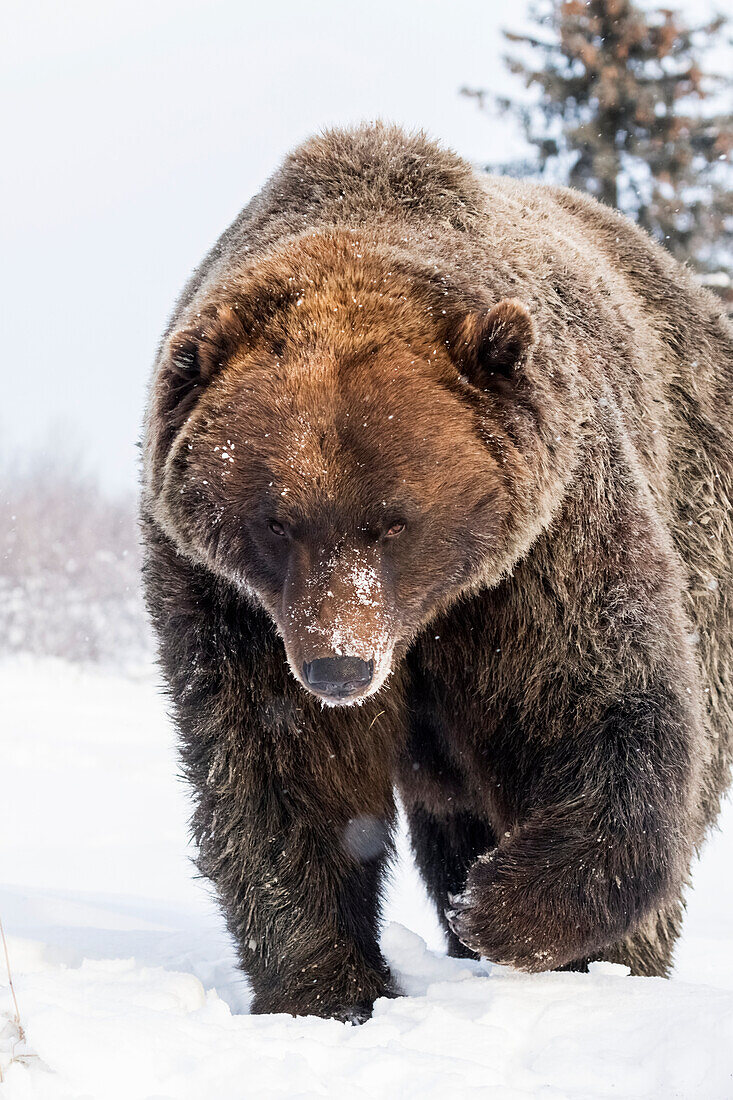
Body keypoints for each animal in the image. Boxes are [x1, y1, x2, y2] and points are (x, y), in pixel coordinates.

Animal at [140, 122, 730, 1020]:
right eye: (277, 521)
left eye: (394, 519)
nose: (340, 668)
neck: (424, 617)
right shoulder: (234, 604)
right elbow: (284, 772)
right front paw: (327, 988)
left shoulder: (541, 556)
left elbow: (608, 708)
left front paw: (497, 908)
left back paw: (610, 967)